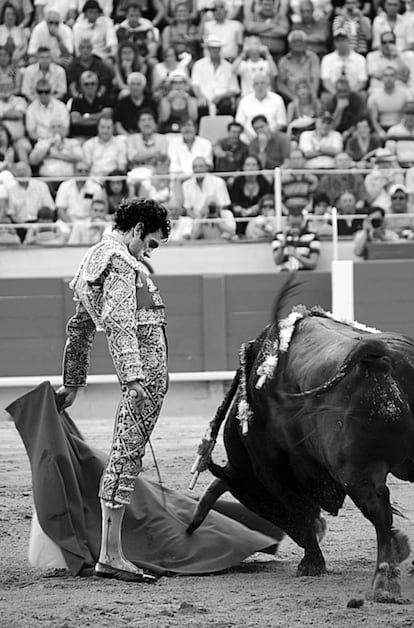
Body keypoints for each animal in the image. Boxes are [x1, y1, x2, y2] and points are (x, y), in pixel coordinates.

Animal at [188, 280, 414, 604]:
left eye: (259, 502)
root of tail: (380, 352)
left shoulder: (273, 472)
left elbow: (299, 513)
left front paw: (311, 564)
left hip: (357, 472)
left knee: (378, 510)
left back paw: (383, 583)